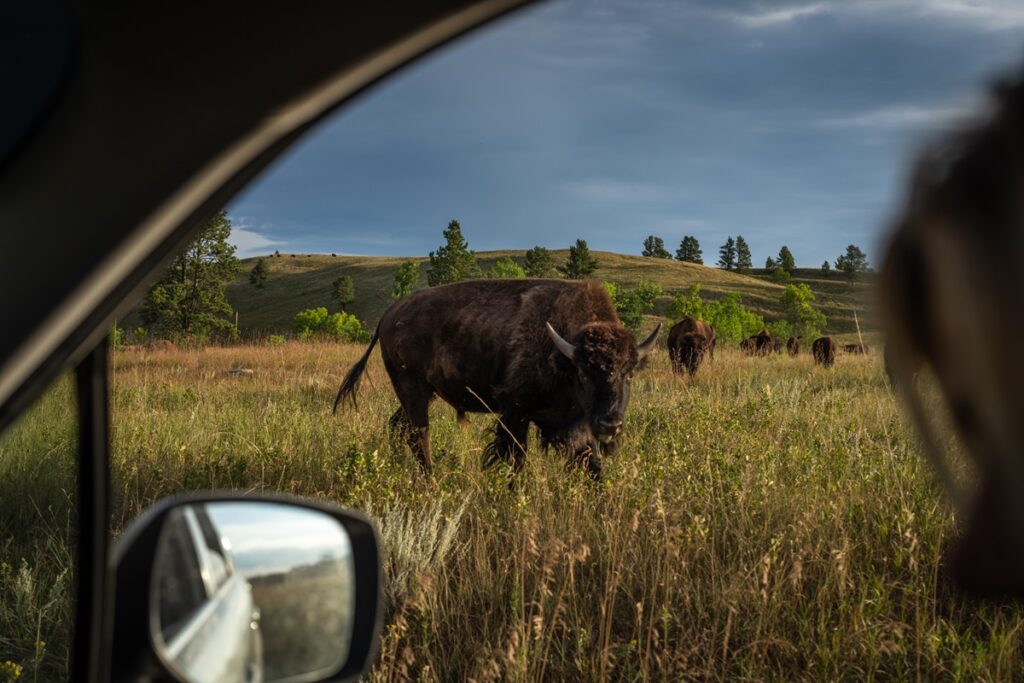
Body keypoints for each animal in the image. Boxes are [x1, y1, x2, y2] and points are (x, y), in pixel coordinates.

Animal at [331, 278, 659, 481]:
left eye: (630, 373)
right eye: (583, 373)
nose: (610, 424)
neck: (561, 352)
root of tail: (388, 315)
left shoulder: (570, 424)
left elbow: (591, 464)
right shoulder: (515, 412)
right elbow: (514, 459)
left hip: (424, 393)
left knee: (398, 425)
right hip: (413, 388)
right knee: (418, 433)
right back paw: (430, 478)